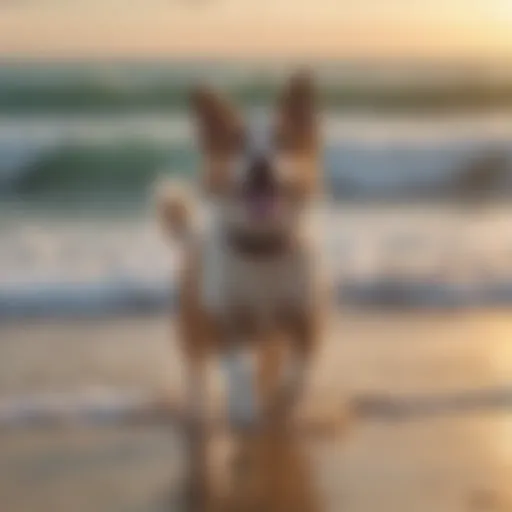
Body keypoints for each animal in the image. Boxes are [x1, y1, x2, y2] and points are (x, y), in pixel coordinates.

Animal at [157, 70, 324, 506]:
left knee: (270, 361)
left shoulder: (307, 320)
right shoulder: (226, 321)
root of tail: (191, 238)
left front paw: (285, 404)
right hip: (192, 329)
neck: (262, 249)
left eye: (282, 140)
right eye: (237, 142)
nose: (260, 163)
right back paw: (205, 408)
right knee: (198, 372)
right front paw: (247, 407)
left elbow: (300, 369)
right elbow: (236, 368)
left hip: (270, 339)